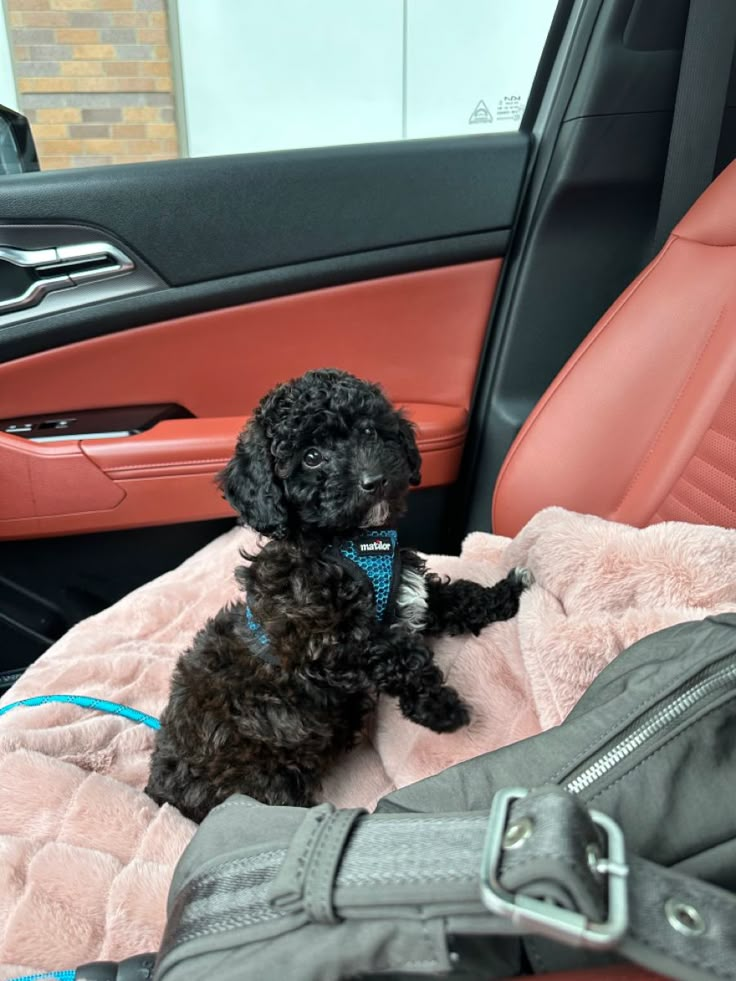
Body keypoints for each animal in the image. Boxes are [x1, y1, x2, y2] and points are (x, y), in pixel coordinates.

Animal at [148, 368, 528, 820]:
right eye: (311, 457)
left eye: (369, 431)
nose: (374, 481)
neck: (349, 543)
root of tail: (159, 791)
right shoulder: (326, 645)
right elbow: (397, 654)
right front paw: (440, 708)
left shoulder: (407, 596)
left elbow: (455, 598)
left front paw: (505, 592)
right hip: (266, 779)